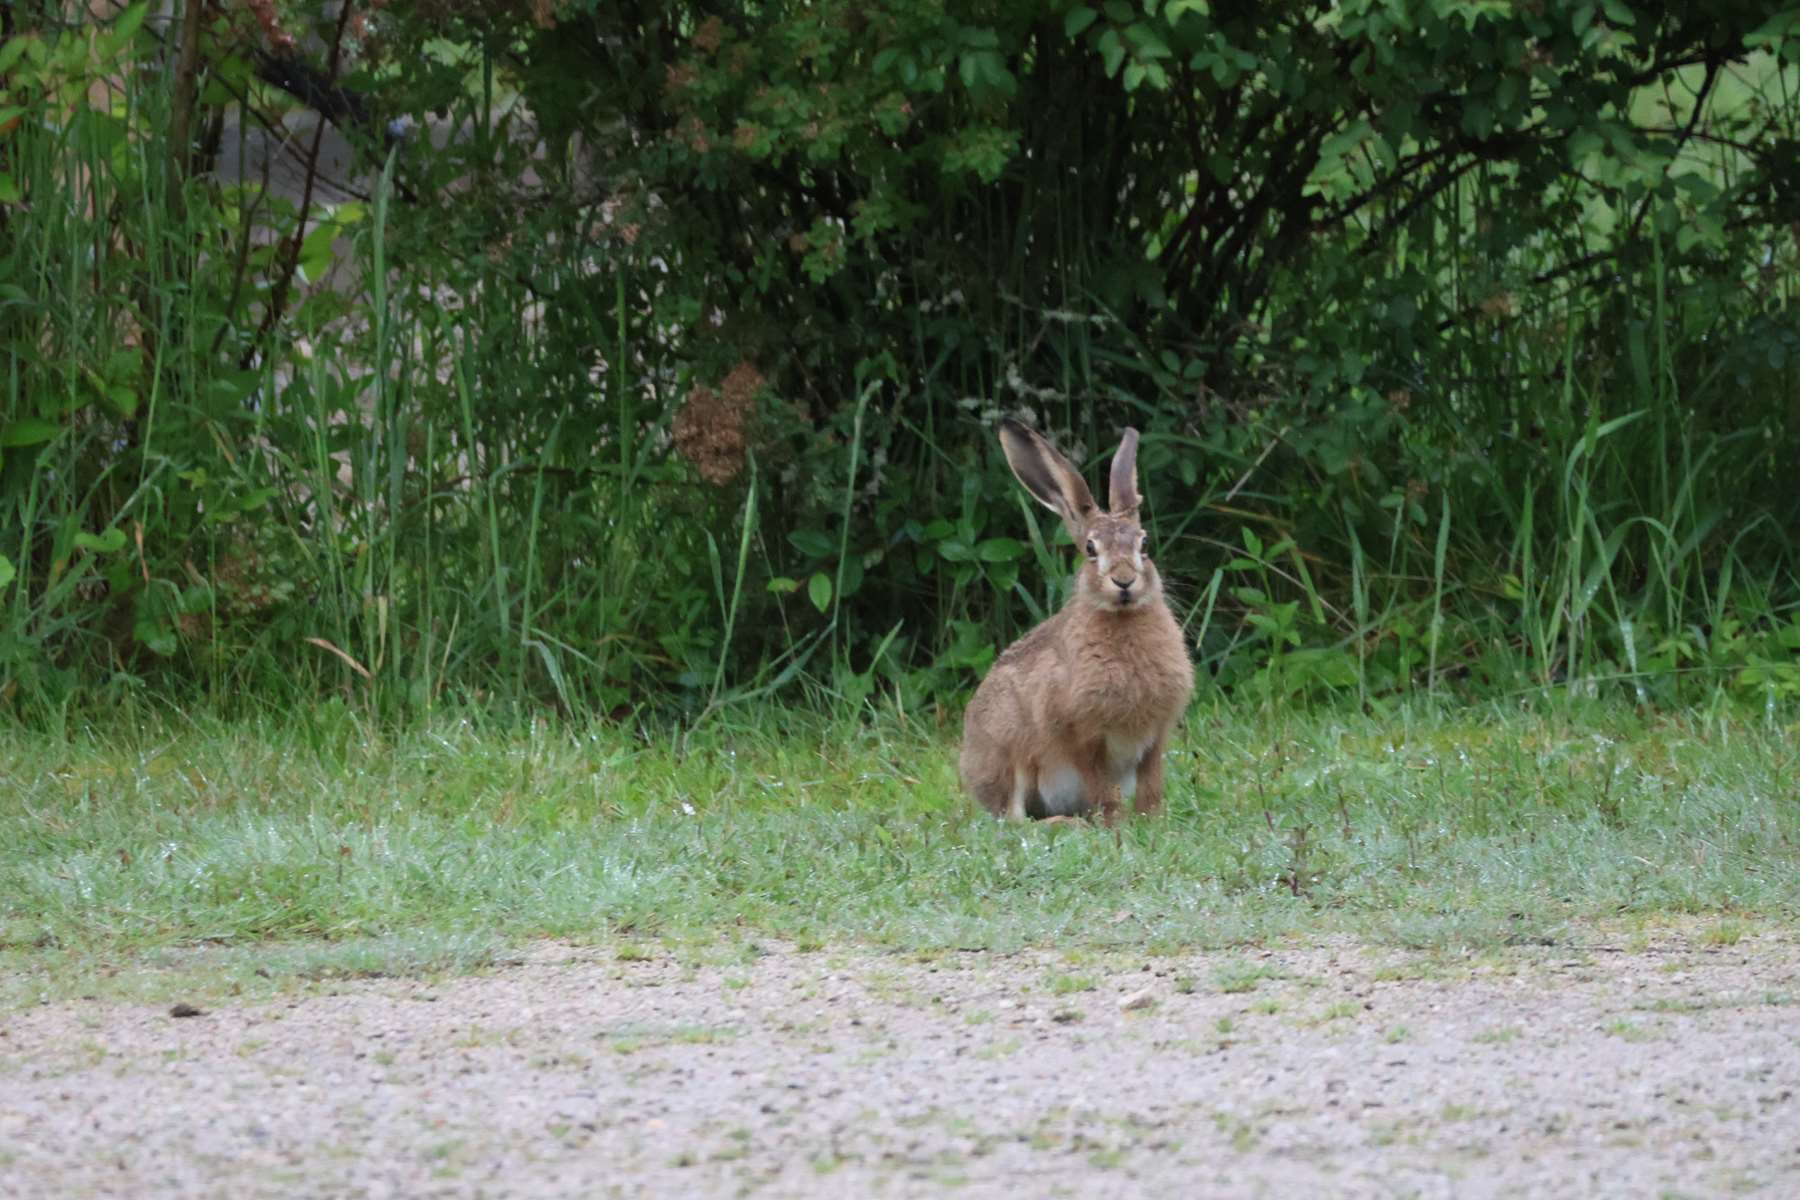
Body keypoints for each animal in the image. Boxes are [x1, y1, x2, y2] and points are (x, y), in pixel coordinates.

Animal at [960, 419, 1194, 824]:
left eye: (1144, 545)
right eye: (1090, 549)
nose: (1124, 581)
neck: (1122, 618)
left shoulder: (1155, 737)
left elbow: (1151, 785)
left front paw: (1152, 821)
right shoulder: (1082, 737)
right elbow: (1101, 787)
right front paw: (1116, 824)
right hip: (1008, 751)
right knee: (1015, 819)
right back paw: (1067, 824)